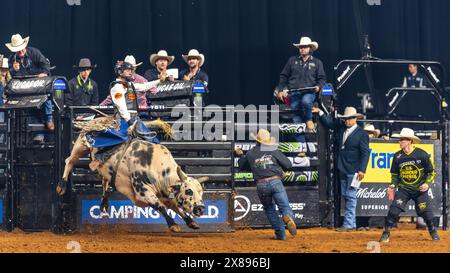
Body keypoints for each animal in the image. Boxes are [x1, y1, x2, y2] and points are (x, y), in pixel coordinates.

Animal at [56, 116, 209, 231]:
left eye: (201, 192)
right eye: (188, 191)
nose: (201, 209)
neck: (156, 166)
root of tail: (99, 119)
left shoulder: (165, 193)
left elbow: (175, 207)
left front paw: (191, 222)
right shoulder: (143, 190)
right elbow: (161, 206)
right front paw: (173, 225)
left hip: (102, 166)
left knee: (104, 179)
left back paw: (104, 203)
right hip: (81, 145)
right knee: (69, 161)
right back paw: (61, 186)